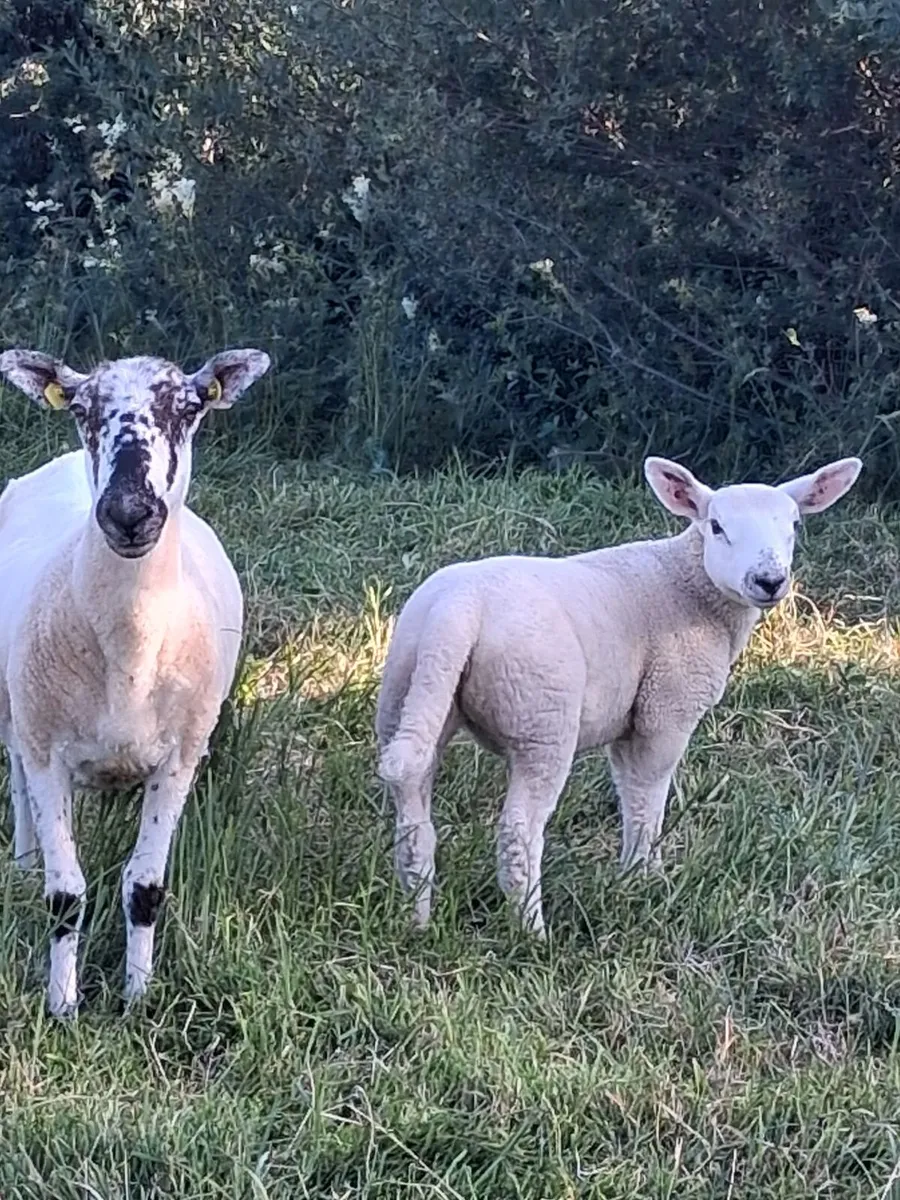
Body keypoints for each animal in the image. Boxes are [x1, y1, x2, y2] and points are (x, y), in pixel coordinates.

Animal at [0, 346, 270, 1017]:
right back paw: (23, 860)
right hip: (19, 711)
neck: (128, 655)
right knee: (16, 776)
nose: (128, 513)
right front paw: (63, 1008)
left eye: (190, 407)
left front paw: (137, 1001)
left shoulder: (180, 758)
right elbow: (65, 895)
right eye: (81, 409)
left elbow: (145, 887)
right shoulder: (47, 751)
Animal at [375, 455, 862, 935]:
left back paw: (417, 921)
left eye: (795, 525)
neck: (688, 585)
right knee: (519, 831)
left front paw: (632, 877)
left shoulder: (629, 716)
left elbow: (628, 789)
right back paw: (532, 932)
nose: (769, 580)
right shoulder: (666, 707)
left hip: (409, 695)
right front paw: (644, 879)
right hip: (541, 717)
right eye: (717, 527)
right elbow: (647, 797)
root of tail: (458, 611)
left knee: (412, 815)